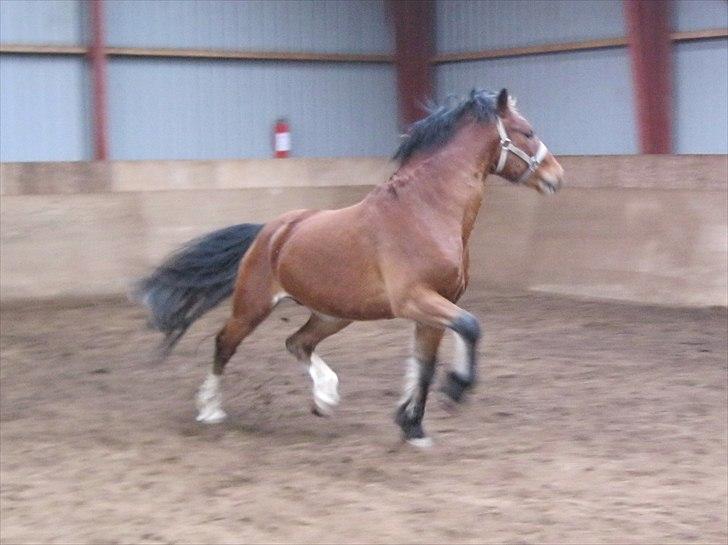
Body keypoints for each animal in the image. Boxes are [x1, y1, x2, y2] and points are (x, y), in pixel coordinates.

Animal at [134, 88, 564, 446]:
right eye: (527, 132)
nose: (556, 176)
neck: (425, 210)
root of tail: (270, 230)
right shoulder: (416, 300)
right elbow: (471, 328)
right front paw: (455, 389)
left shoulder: (436, 306)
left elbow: (424, 363)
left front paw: (412, 425)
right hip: (252, 306)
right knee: (225, 343)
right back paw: (211, 409)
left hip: (334, 314)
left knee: (297, 343)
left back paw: (325, 397)